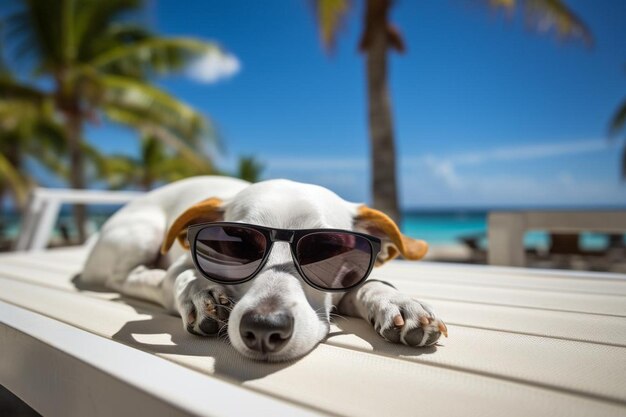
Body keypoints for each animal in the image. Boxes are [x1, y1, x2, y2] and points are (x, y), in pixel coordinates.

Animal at [81, 176, 444, 360]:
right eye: (235, 243)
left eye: (328, 249)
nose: (264, 328)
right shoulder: (184, 263)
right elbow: (183, 278)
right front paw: (202, 294)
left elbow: (369, 285)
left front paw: (398, 302)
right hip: (142, 233)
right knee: (126, 277)